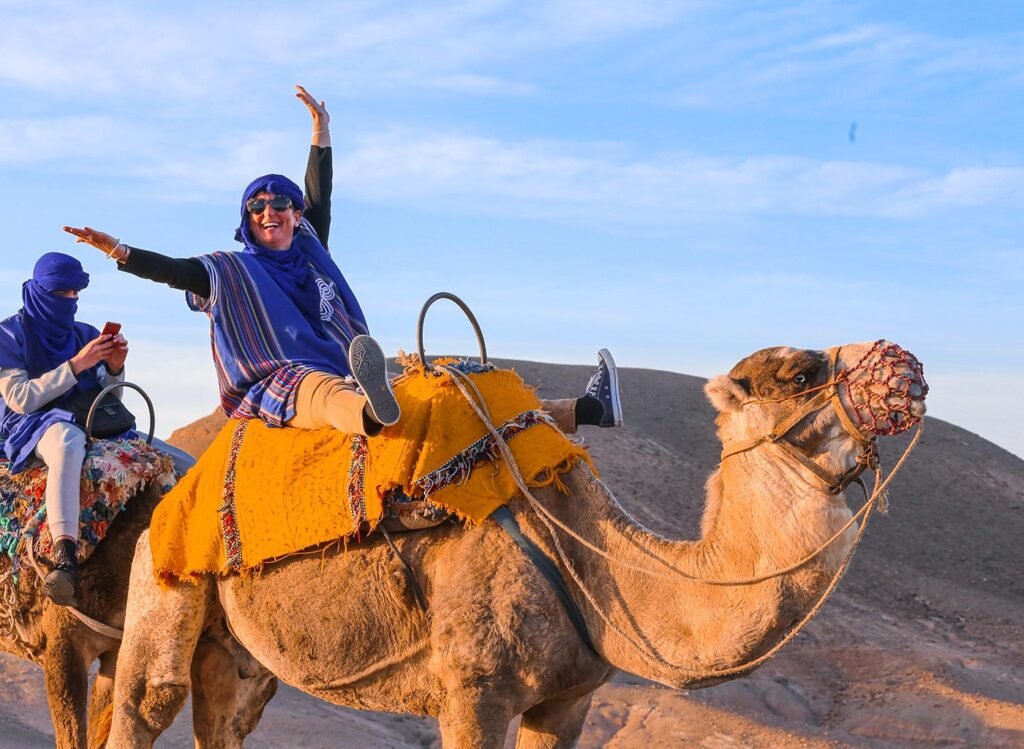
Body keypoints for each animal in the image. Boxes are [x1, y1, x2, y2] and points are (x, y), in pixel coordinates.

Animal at [107, 340, 928, 749]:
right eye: (801, 370)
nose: (908, 367)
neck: (598, 565)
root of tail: (180, 479)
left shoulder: (568, 701)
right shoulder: (474, 691)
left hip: (239, 648)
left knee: (225, 712)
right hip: (165, 573)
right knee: (147, 701)